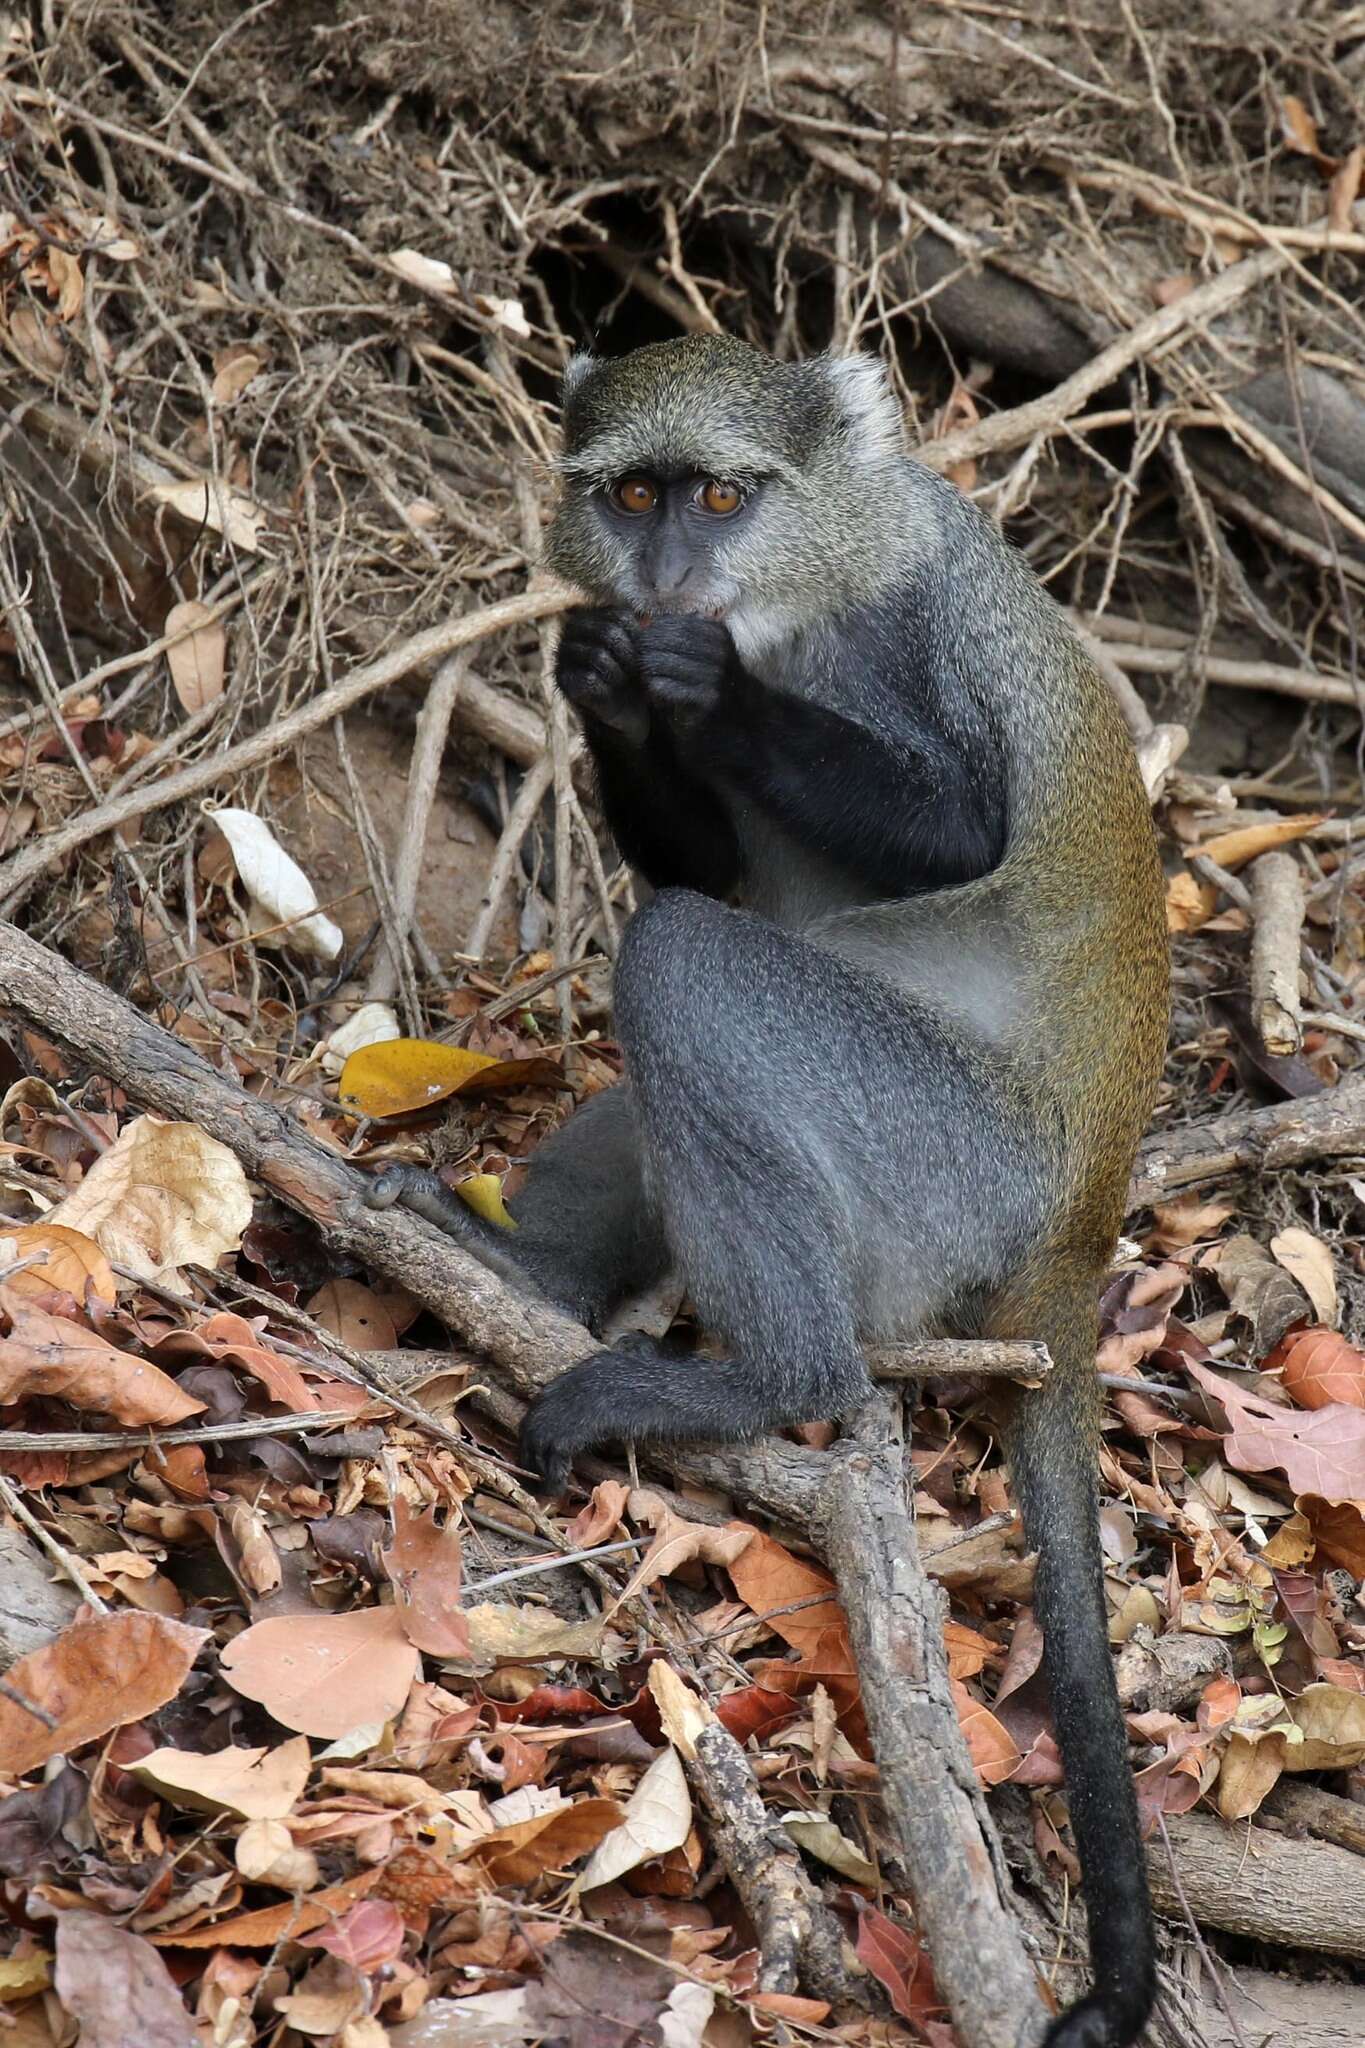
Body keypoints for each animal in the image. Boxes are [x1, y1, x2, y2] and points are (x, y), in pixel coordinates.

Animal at [370, 335, 1162, 2048]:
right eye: (637, 496)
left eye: (724, 498)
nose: (667, 575)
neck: (808, 579)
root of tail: (1077, 1225)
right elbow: (703, 869)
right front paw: (605, 674)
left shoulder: (900, 639)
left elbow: (957, 829)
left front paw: (700, 686)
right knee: (694, 948)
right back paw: (522, 1279)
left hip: (944, 1156)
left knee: (684, 965)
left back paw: (764, 1381)